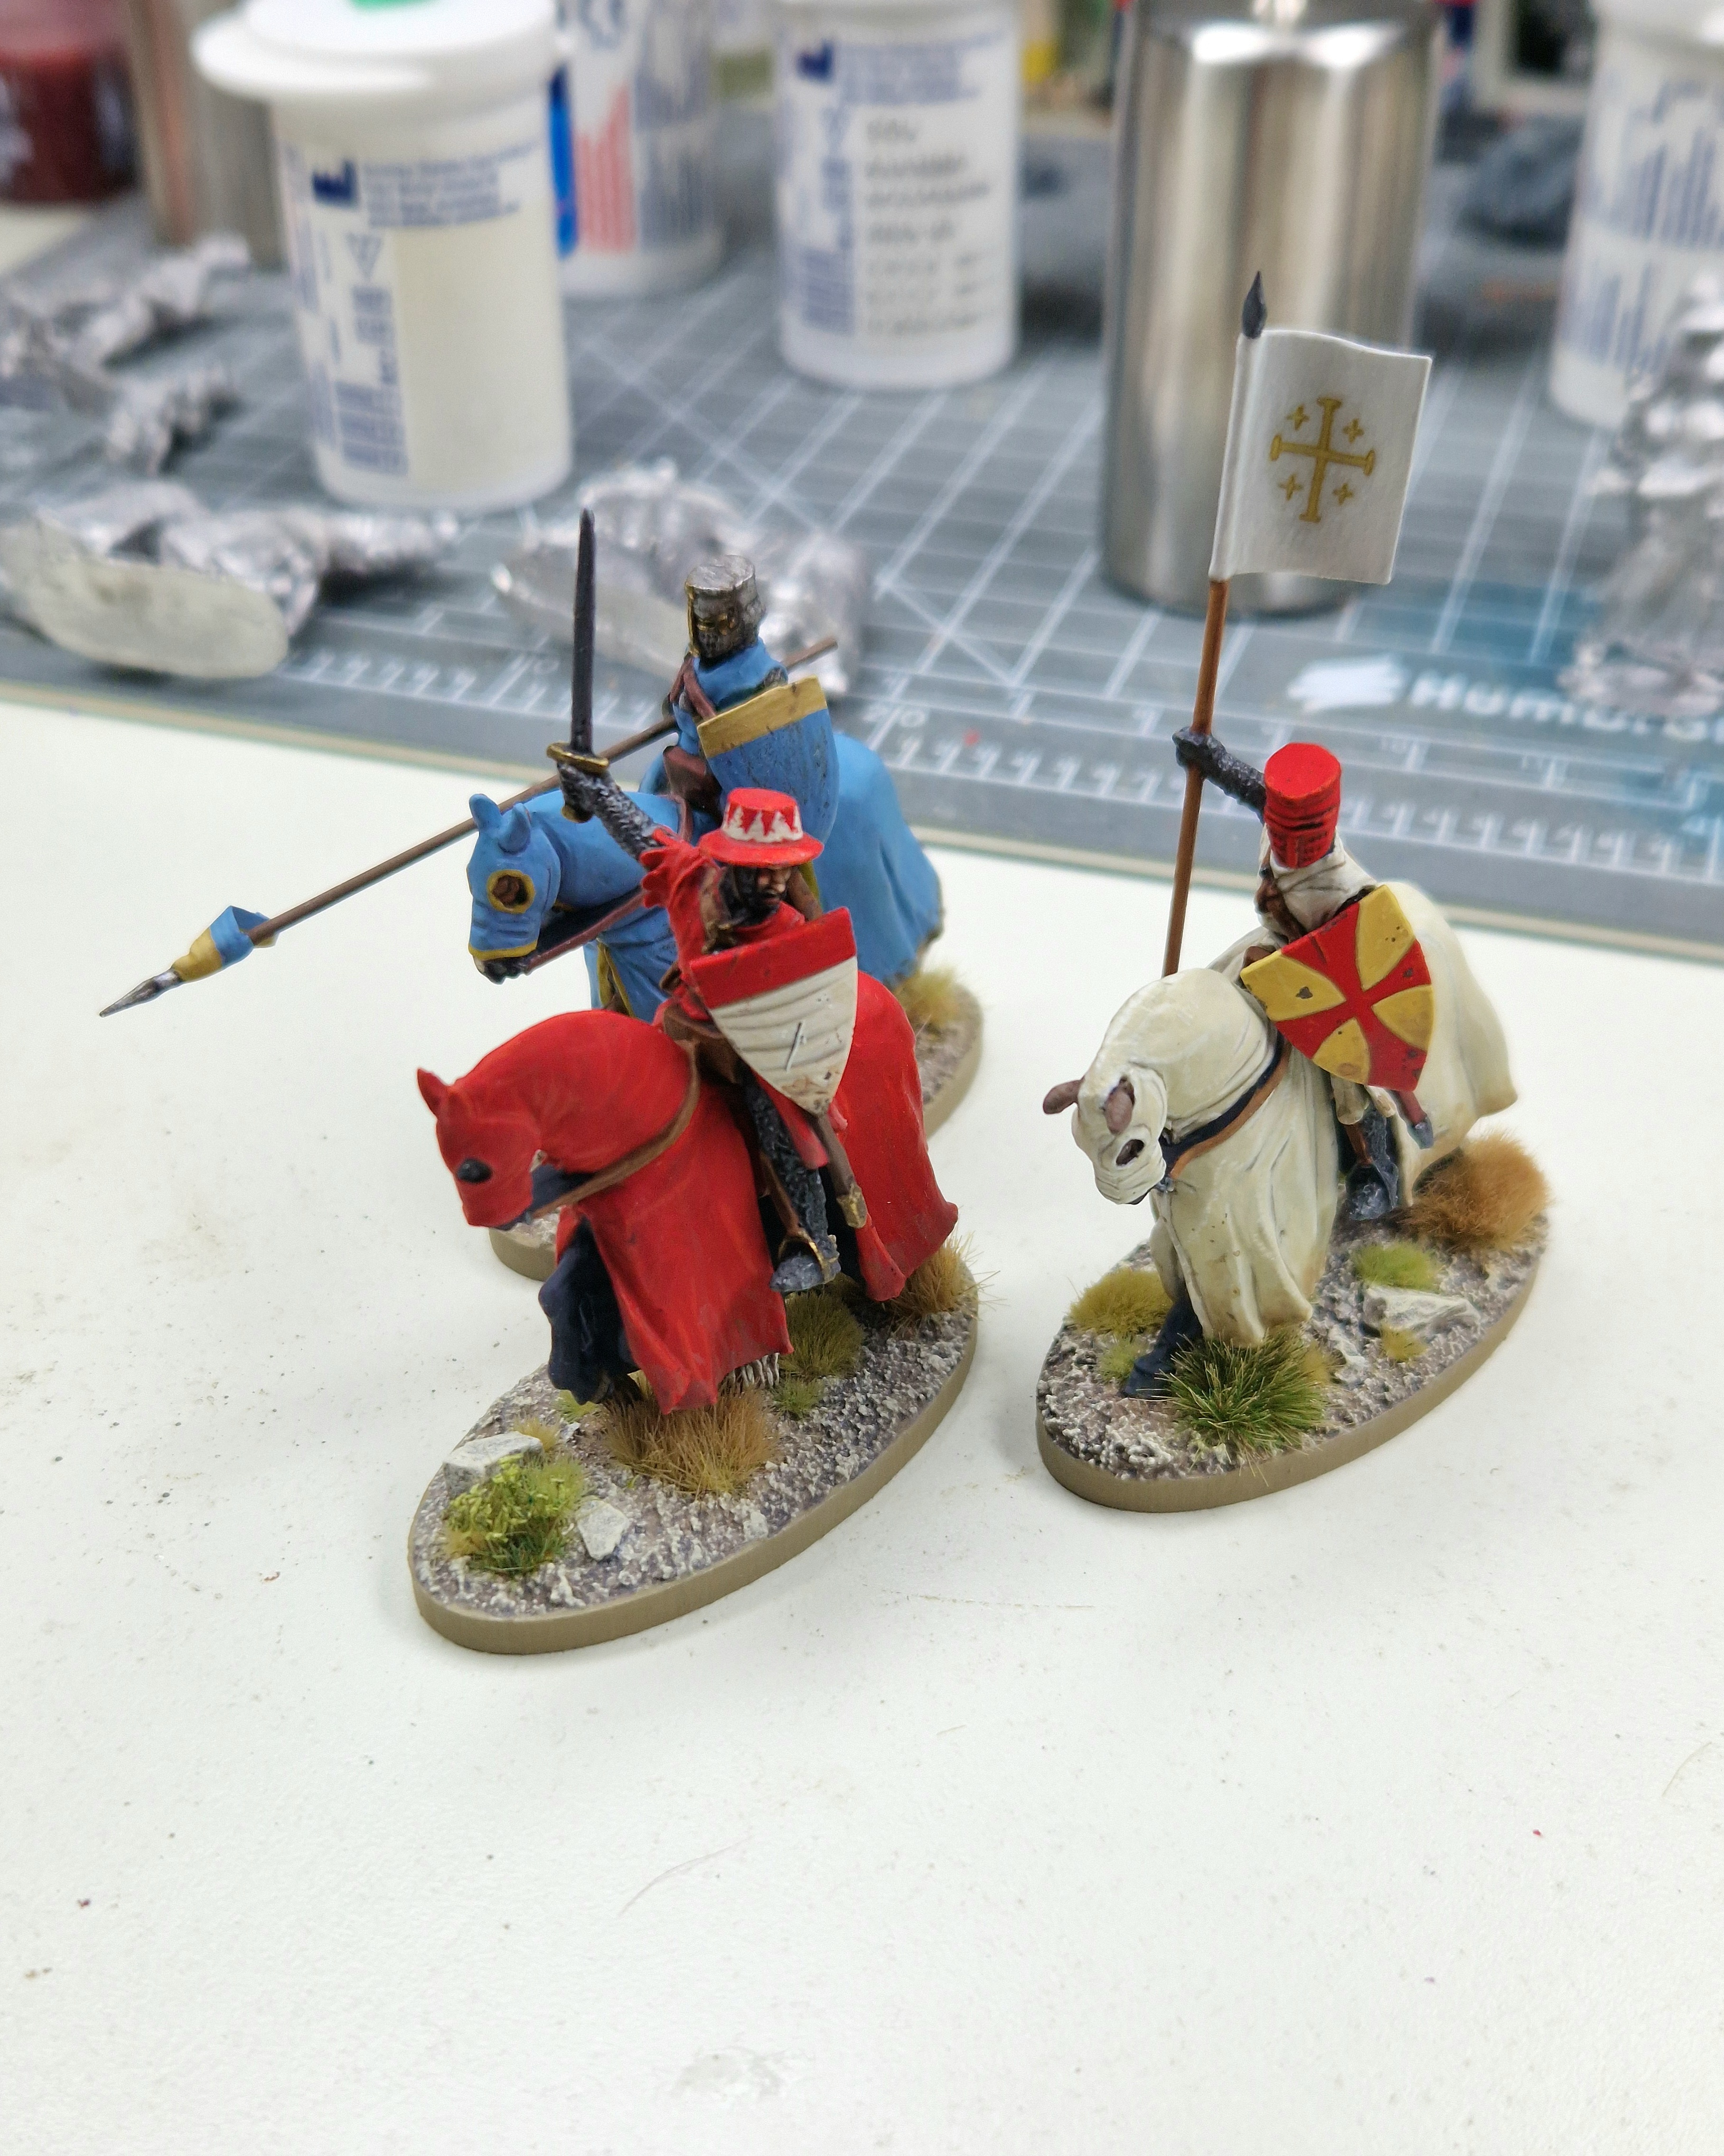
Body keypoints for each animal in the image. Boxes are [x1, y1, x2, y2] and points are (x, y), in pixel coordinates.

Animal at [1046, 884, 1516, 1354]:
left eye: (1130, 1147)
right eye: (1080, 1146)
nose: (1122, 1194)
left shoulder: (1247, 1216)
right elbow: (1180, 1272)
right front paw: (1161, 1354)